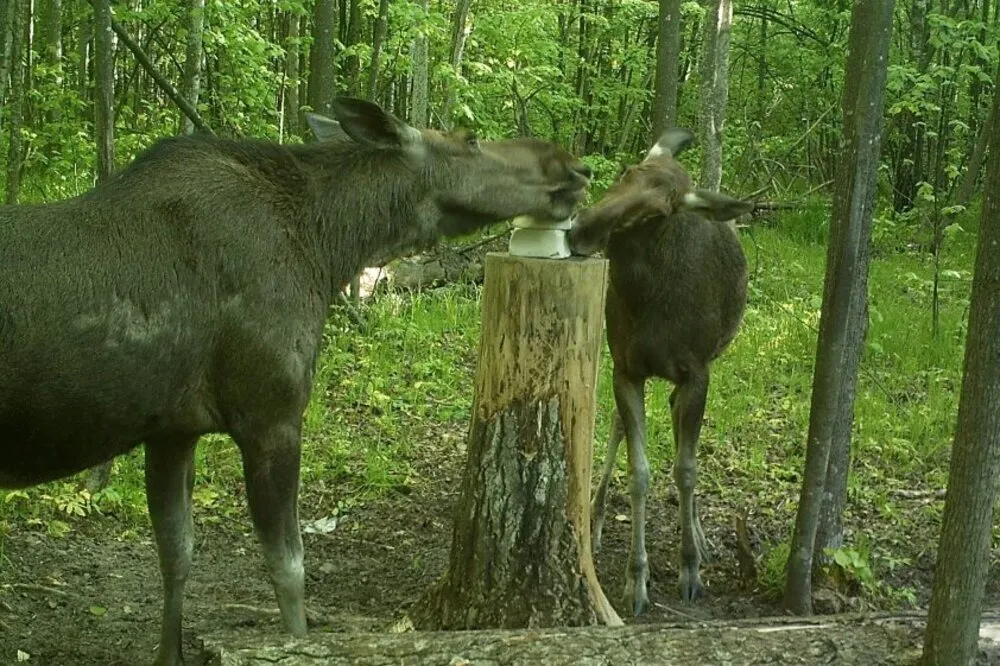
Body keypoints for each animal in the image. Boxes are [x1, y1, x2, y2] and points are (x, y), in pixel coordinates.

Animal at [0, 94, 592, 664]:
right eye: (469, 140)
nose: (574, 165)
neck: (327, 249)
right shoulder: (272, 414)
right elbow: (288, 567)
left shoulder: (172, 429)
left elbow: (176, 552)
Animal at [568, 128, 752, 612]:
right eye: (625, 172)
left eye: (658, 210)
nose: (582, 228)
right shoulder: (625, 368)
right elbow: (640, 472)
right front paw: (636, 579)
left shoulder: (697, 371)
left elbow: (685, 469)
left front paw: (690, 568)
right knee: (623, 425)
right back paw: (595, 516)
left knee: (678, 425)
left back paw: (700, 536)